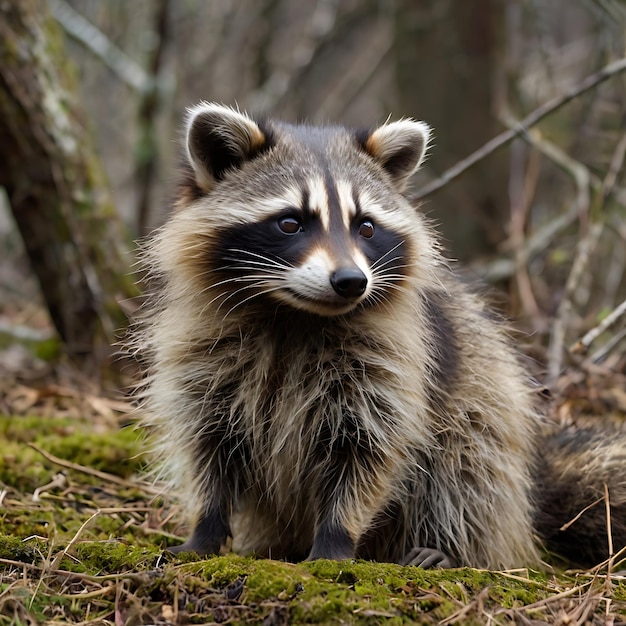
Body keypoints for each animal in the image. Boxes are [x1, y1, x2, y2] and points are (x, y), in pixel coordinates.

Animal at [139, 103, 624, 572]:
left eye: (366, 227)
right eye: (290, 223)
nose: (351, 281)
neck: (294, 315)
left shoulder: (390, 366)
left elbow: (369, 451)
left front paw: (335, 540)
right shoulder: (206, 357)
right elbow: (209, 446)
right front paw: (205, 530)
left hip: (487, 406)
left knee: (467, 468)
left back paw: (447, 546)